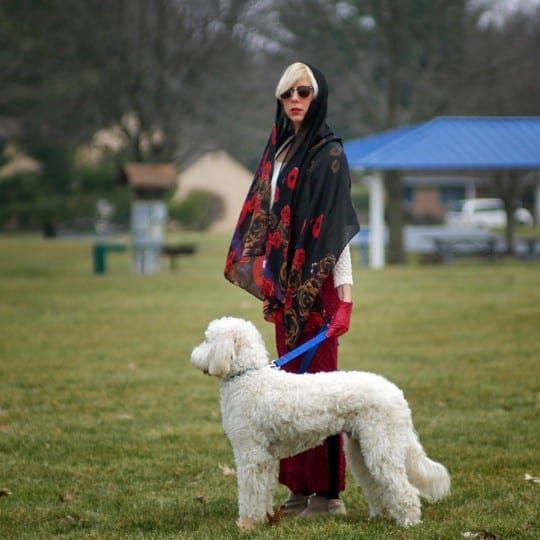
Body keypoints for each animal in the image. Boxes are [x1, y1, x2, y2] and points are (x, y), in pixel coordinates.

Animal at [191, 316, 452, 532]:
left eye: (207, 339)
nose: (193, 355)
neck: (248, 376)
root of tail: (397, 394)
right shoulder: (265, 457)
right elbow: (262, 491)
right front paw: (265, 519)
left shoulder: (250, 453)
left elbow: (250, 492)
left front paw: (247, 525)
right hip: (361, 449)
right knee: (377, 485)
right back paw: (381, 517)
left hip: (382, 447)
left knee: (405, 489)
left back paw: (409, 522)